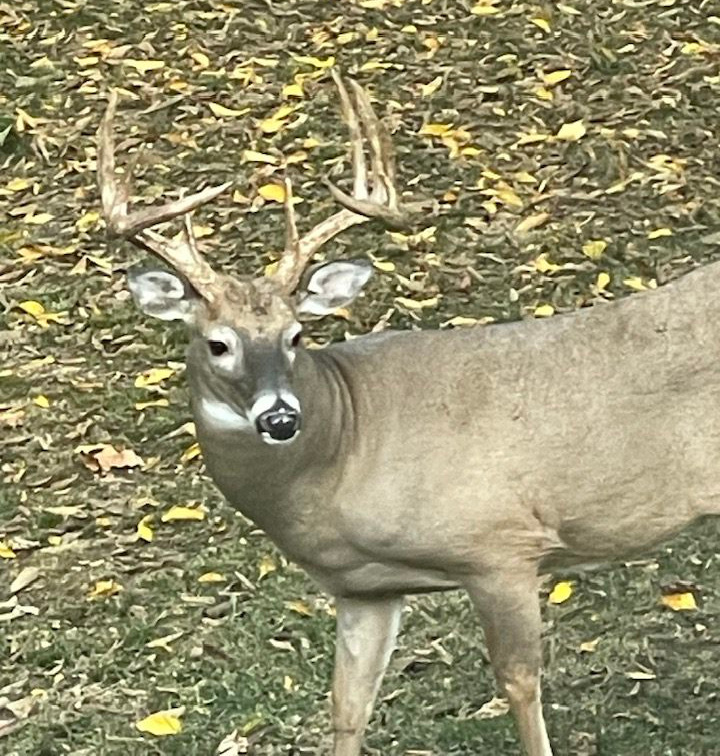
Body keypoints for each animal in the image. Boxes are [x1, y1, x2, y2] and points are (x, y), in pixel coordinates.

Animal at [96, 71, 720, 756]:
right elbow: (347, 706)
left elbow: (520, 684)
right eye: (217, 343)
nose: (280, 418)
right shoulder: (365, 589)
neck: (343, 449)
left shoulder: (500, 545)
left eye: (296, 336)